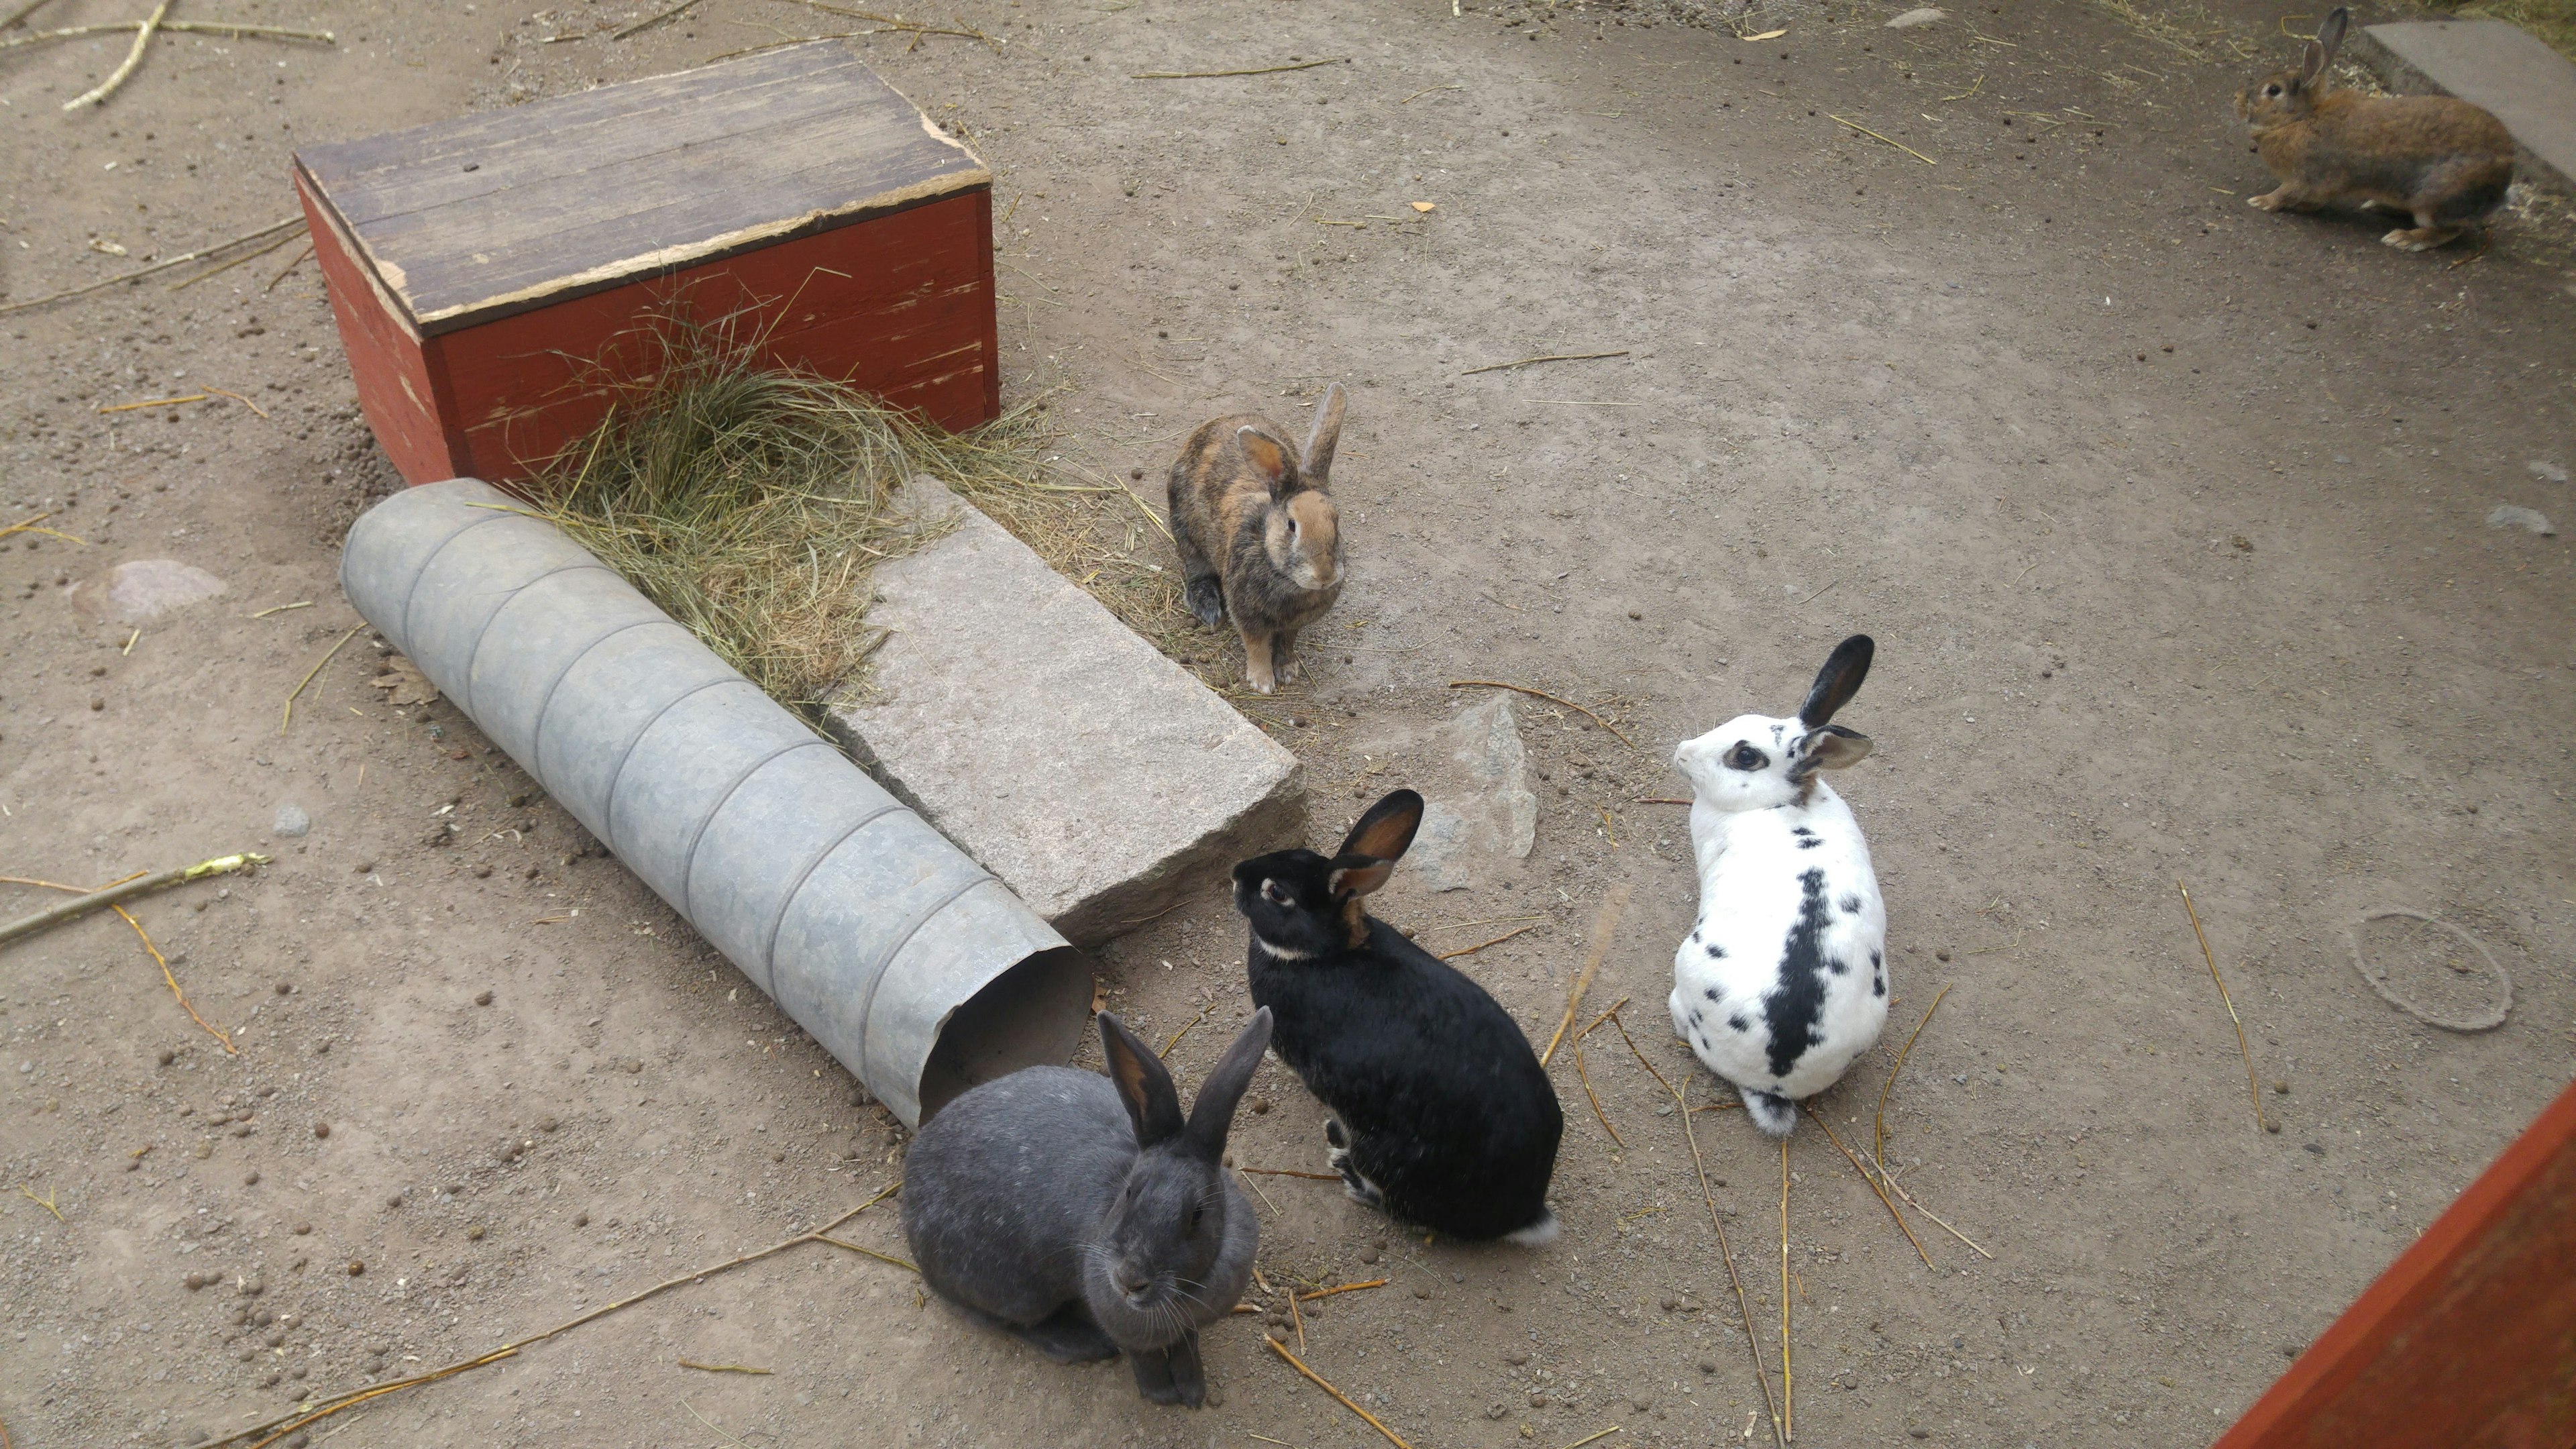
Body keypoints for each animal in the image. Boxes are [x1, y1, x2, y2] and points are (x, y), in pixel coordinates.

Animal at [902, 1005, 1272, 1402]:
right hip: (1015, 1293)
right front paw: (1162, 1396)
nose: (1129, 1280)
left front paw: (1193, 1391)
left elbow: (1187, 1346)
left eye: (1196, 1216)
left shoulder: (1189, 1328)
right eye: (1129, 1192)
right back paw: (1084, 1343)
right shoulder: (1125, 1329)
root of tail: (909, 1199)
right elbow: (1145, 1360)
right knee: (1014, 1324)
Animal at [1175, 381, 1360, 691]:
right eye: (1292, 525)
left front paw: (1287, 670)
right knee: (1196, 570)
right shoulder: (1247, 614)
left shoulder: (1293, 624)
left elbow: (1287, 642)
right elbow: (1257, 645)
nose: (1324, 576)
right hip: (1187, 533)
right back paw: (1207, 608)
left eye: (1337, 521)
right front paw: (1262, 682)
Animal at [1231, 784, 1566, 1237]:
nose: (1235, 874)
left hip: (1391, 1159)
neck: (1321, 954)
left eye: (1276, 893)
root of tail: (1523, 1215)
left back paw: (1347, 1170)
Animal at [2236, 6, 2514, 251]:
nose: (2238, 100)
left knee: (2449, 230)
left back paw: (2403, 239)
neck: (2300, 119)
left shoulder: (2306, 175)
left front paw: (2261, 202)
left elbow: (2285, 194)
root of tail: (2506, 174)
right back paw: (2376, 206)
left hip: (2435, 199)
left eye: (2273, 90)